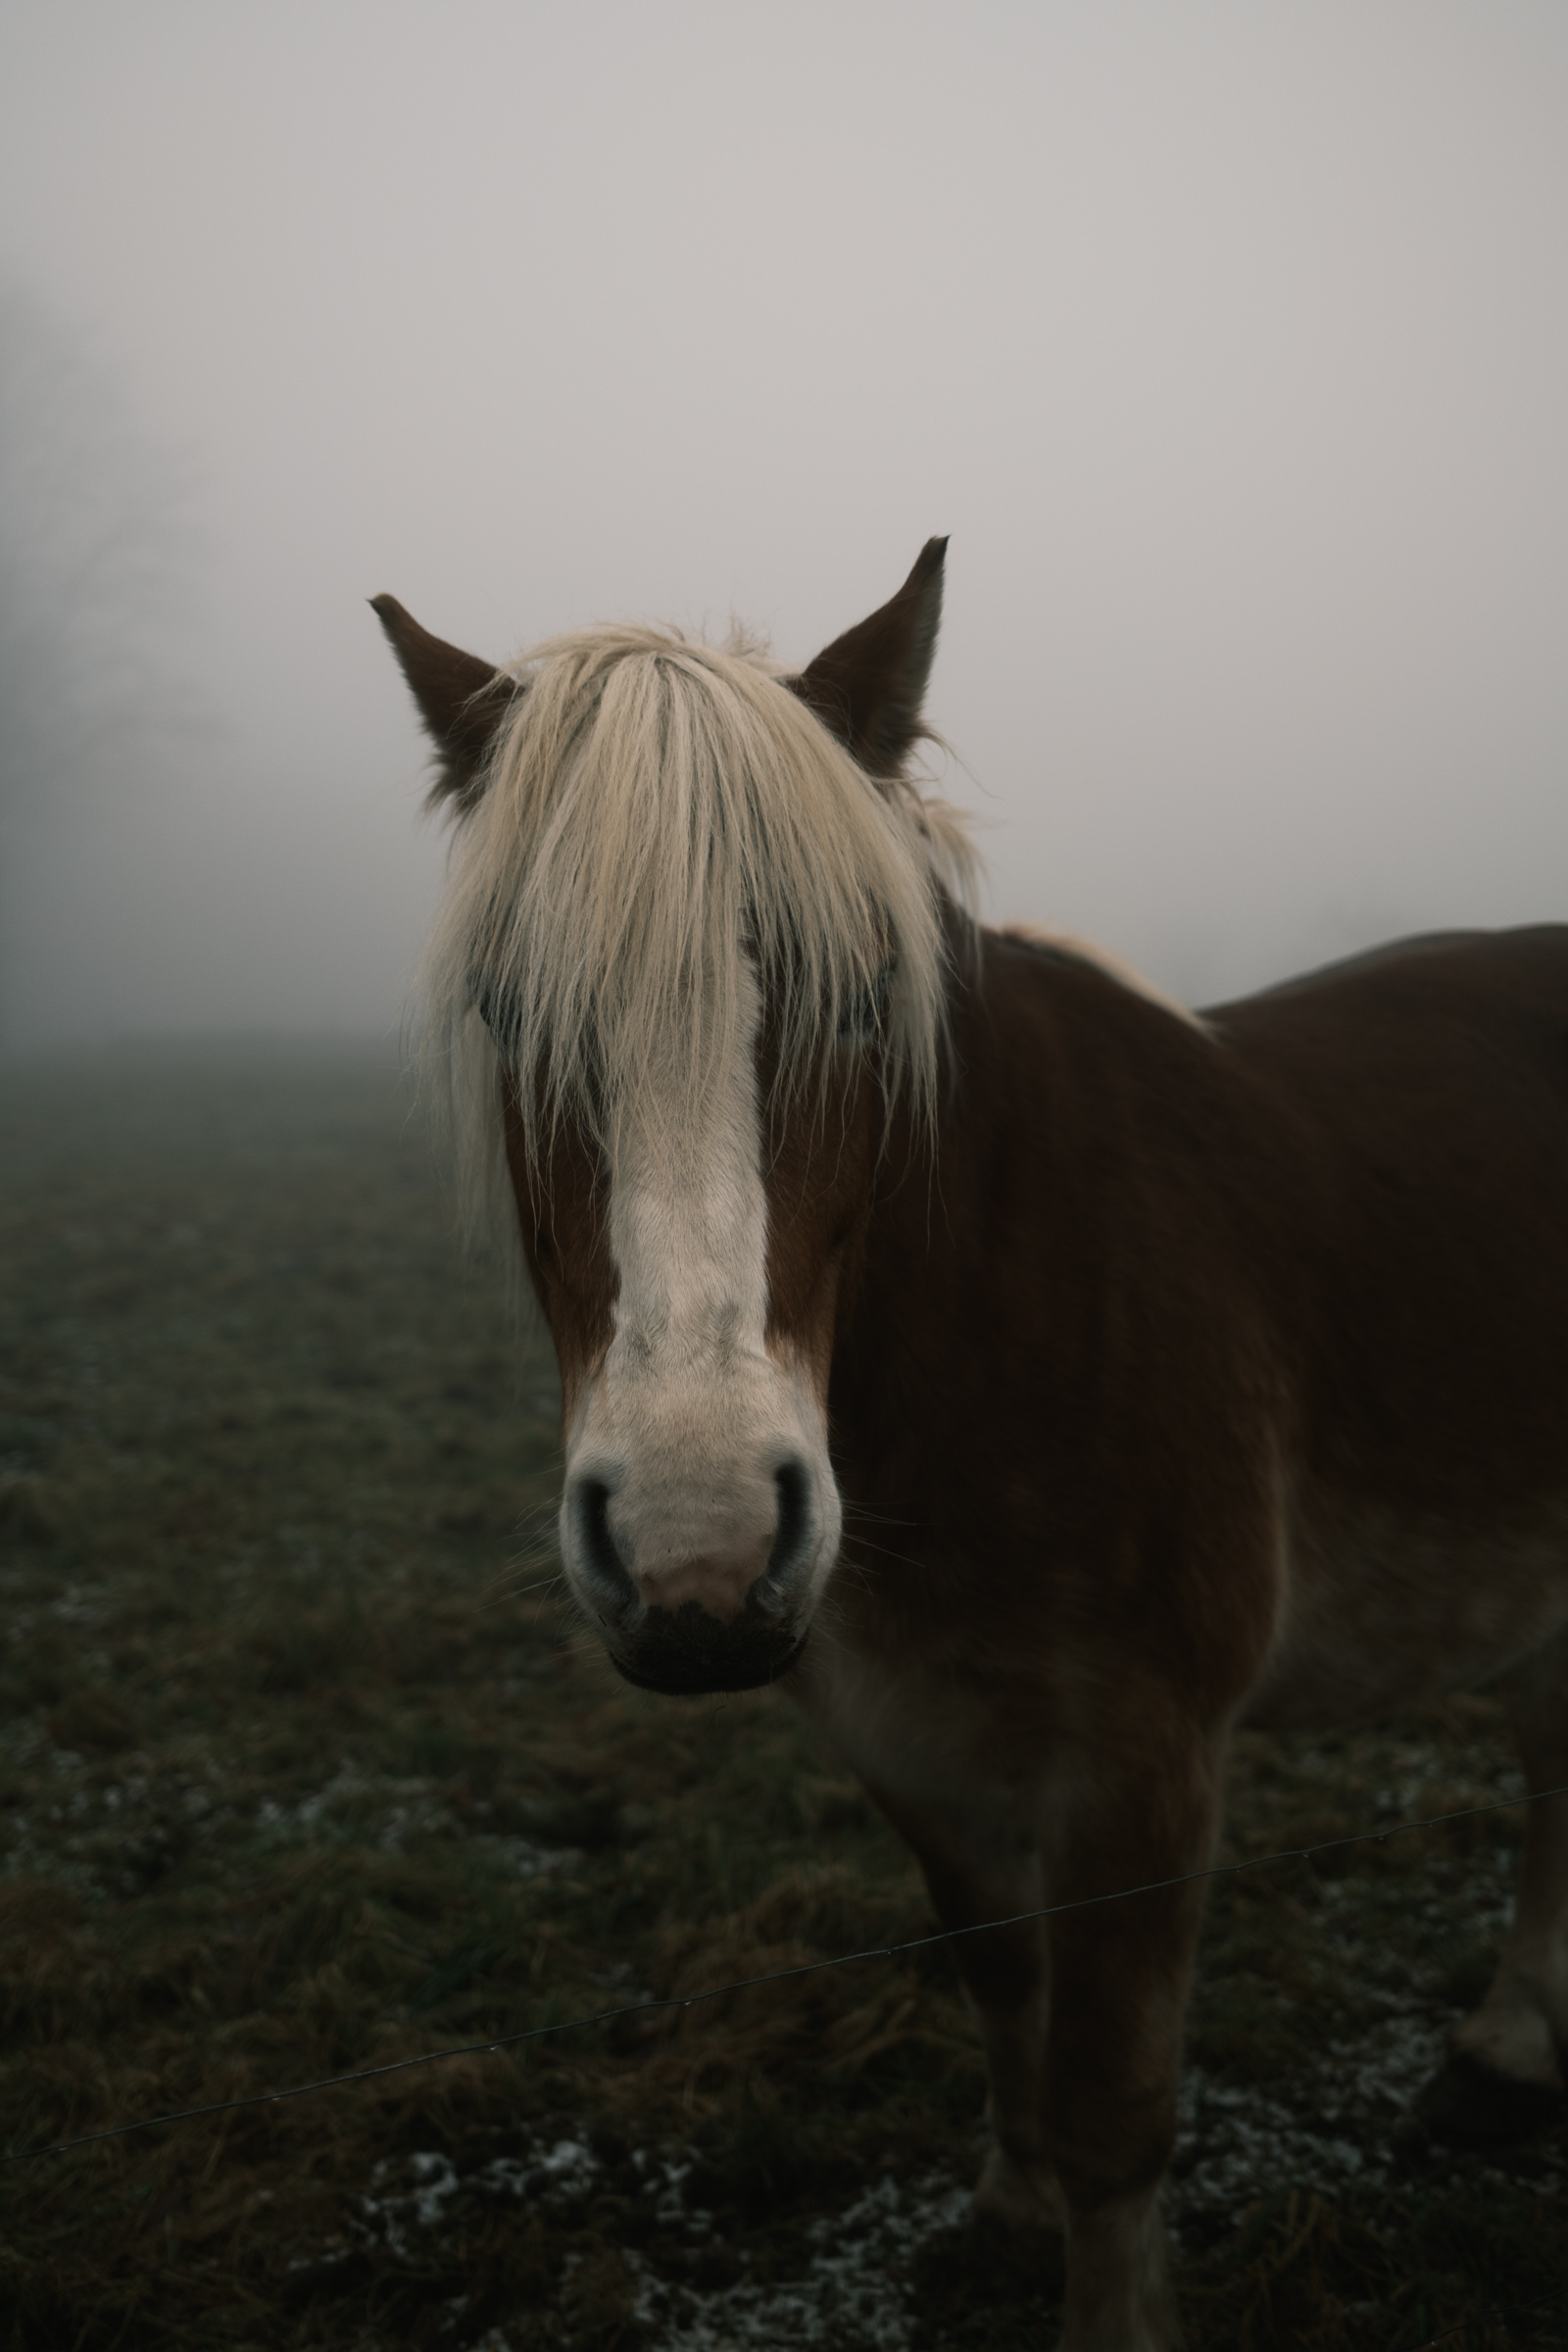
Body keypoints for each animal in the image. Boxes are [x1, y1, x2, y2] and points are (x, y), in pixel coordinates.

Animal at [373, 543, 1568, 2351]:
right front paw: (1005, 2219)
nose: (699, 1550)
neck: (1000, 1317)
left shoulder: (1145, 1769)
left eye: (863, 998)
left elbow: (1115, 2108)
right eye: (514, 1008)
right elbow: (1000, 1978)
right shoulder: (909, 1736)